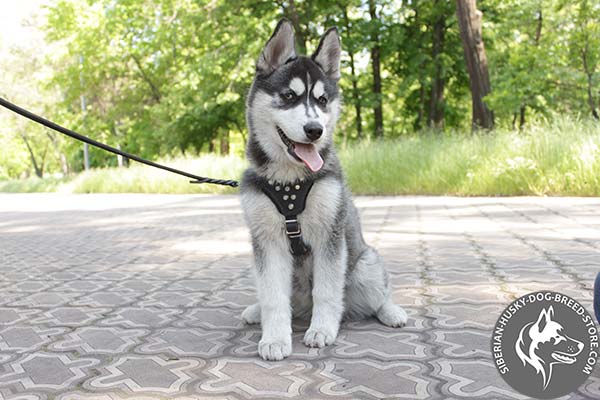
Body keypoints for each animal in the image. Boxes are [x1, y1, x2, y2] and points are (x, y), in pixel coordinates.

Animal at [239, 18, 408, 360]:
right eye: (289, 96)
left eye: (321, 101)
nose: (314, 130)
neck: (289, 181)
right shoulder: (266, 242)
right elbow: (273, 297)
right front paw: (274, 338)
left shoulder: (330, 236)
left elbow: (327, 292)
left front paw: (322, 330)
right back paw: (256, 310)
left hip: (365, 264)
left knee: (377, 296)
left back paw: (391, 312)